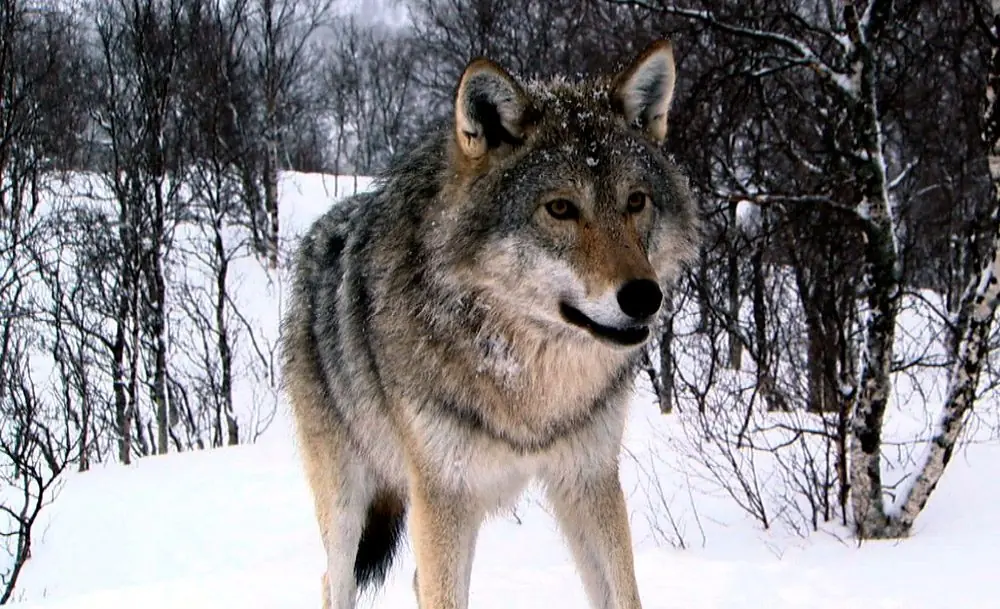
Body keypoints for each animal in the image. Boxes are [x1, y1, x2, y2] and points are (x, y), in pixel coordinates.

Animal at [280, 39, 701, 609]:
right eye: (560, 209)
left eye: (636, 202)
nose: (644, 297)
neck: (527, 380)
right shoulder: (444, 494)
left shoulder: (588, 478)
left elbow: (624, 594)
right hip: (350, 504)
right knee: (333, 579)